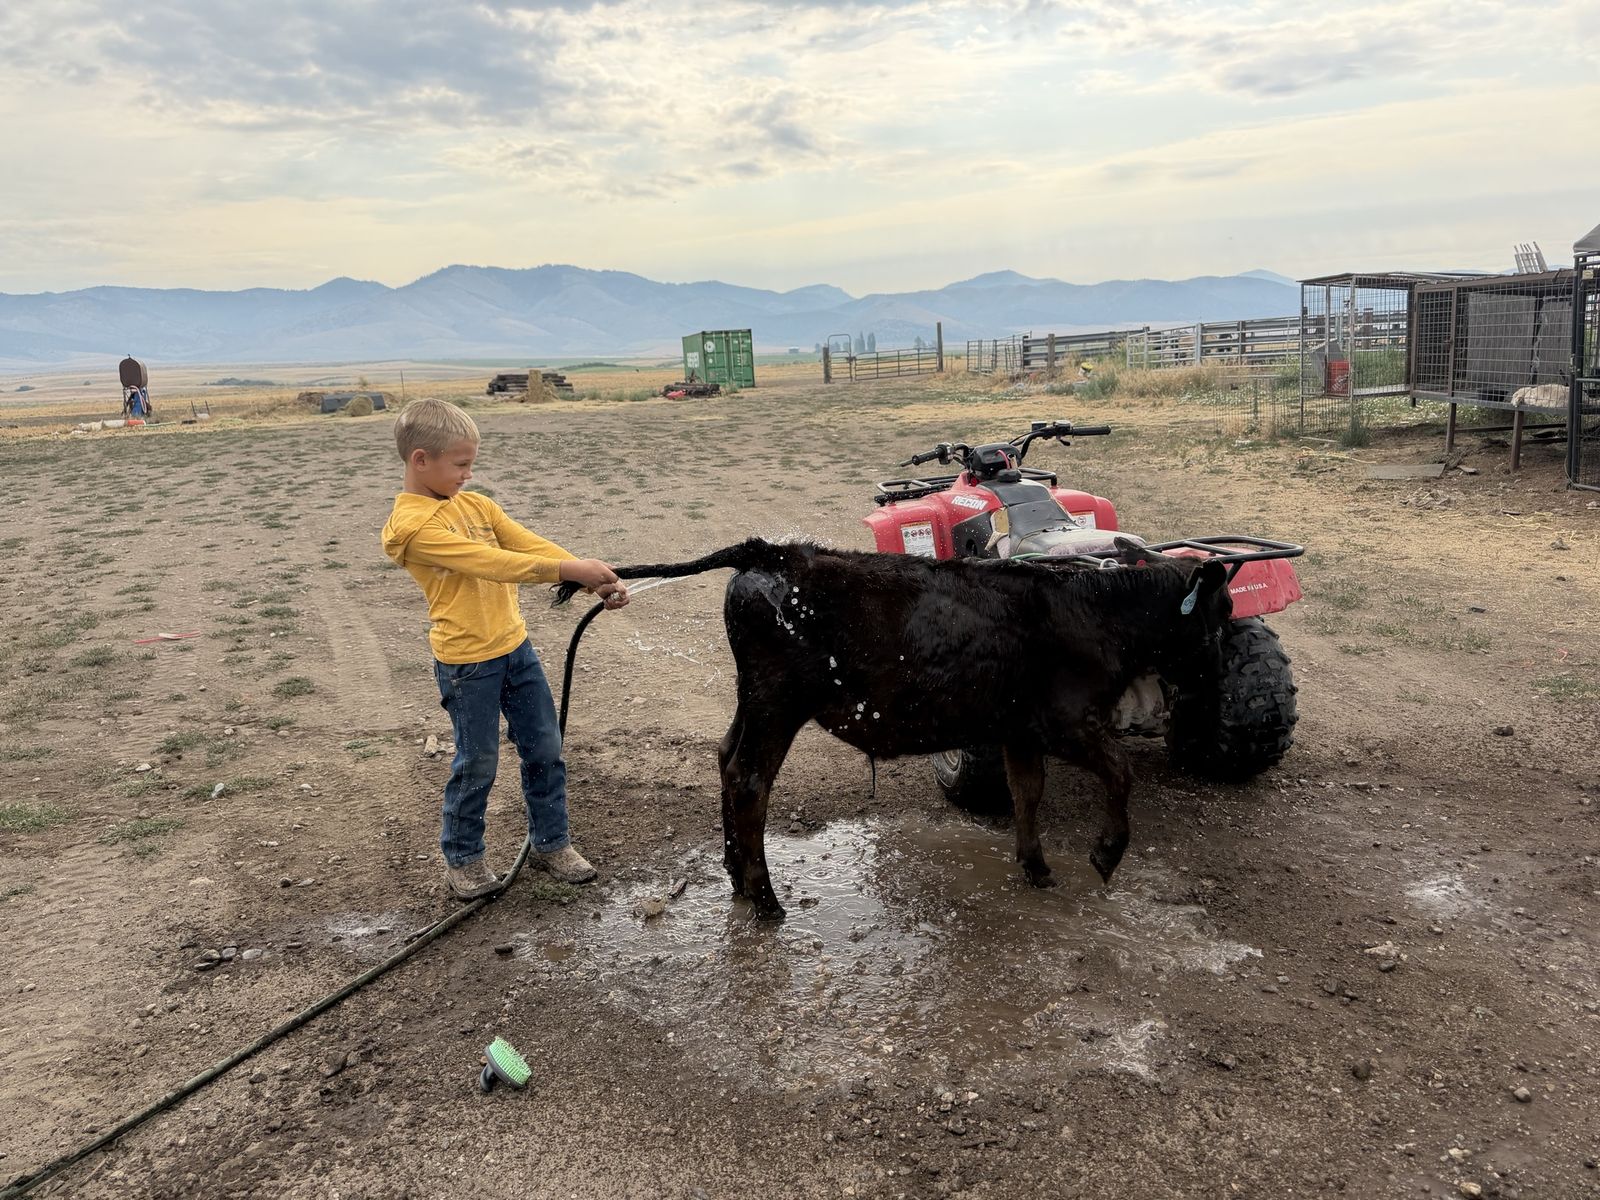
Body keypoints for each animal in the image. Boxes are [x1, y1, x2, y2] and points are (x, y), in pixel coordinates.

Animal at [556, 538, 1232, 919]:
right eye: (1222, 612)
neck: (1094, 611)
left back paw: (737, 879)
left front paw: (1035, 866)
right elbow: (1119, 772)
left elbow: (1027, 794)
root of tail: (773, 551)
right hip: (778, 704)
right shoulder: (1068, 722)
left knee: (725, 760)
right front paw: (1105, 854)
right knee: (749, 781)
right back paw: (767, 899)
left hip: (755, 702)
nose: (1221, 674)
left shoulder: (1018, 727)